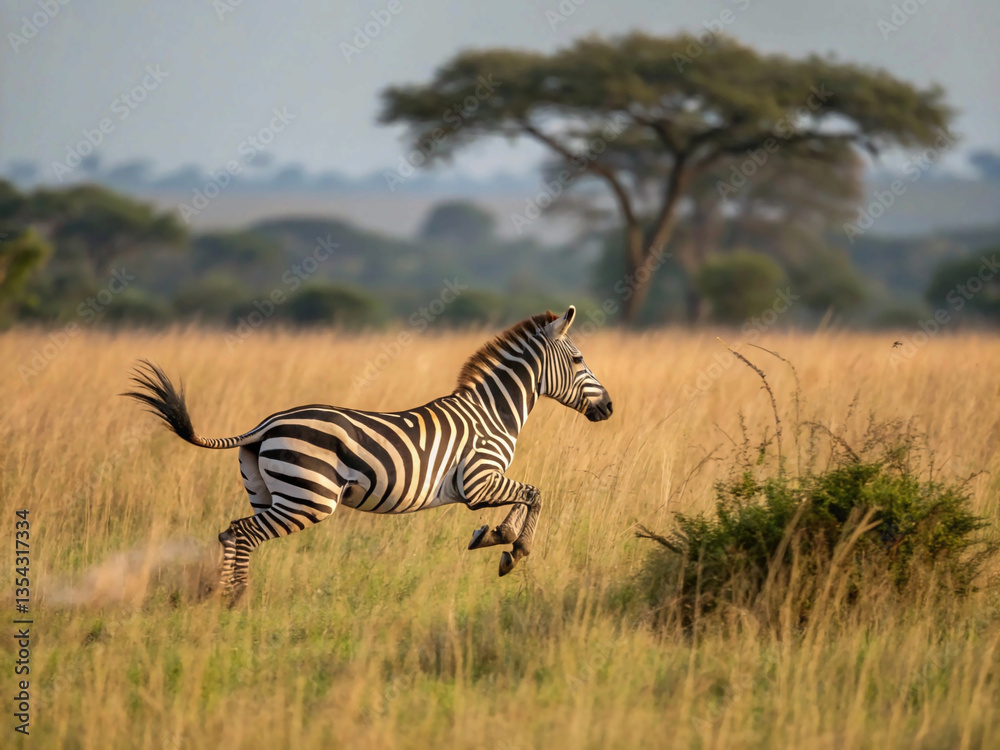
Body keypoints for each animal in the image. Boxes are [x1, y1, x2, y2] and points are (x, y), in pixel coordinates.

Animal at [124, 306, 613, 599]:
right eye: (578, 360)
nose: (609, 407)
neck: (492, 413)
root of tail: (265, 424)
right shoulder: (478, 479)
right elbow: (536, 493)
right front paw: (511, 547)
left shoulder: (482, 485)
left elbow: (527, 496)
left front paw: (493, 536)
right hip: (309, 499)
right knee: (241, 533)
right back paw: (236, 601)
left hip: (270, 495)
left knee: (232, 531)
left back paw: (220, 596)